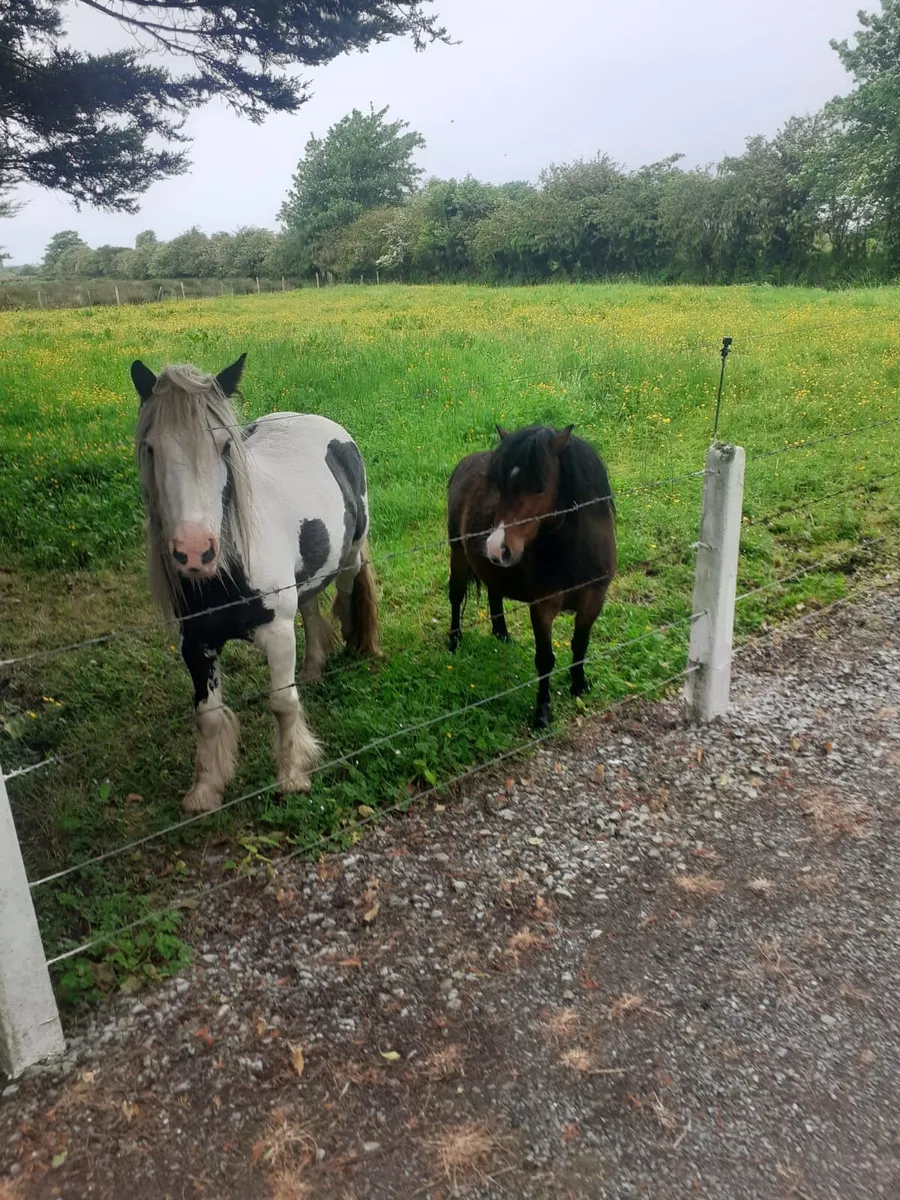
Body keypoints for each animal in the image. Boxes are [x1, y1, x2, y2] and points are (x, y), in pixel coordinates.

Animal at [131, 353, 380, 814]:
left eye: (224, 446)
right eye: (152, 448)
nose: (194, 551)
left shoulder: (277, 632)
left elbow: (282, 702)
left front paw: (293, 776)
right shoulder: (196, 644)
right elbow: (209, 716)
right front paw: (205, 790)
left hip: (351, 554)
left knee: (345, 589)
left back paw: (356, 641)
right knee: (311, 606)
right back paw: (314, 666)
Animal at [447, 423, 616, 728]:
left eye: (539, 488)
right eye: (499, 488)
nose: (495, 547)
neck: (575, 553)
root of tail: (465, 462)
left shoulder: (594, 599)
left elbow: (580, 645)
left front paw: (579, 685)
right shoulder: (543, 608)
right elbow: (545, 659)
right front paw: (543, 712)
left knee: (494, 592)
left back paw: (502, 634)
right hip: (457, 554)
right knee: (456, 597)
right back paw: (454, 642)